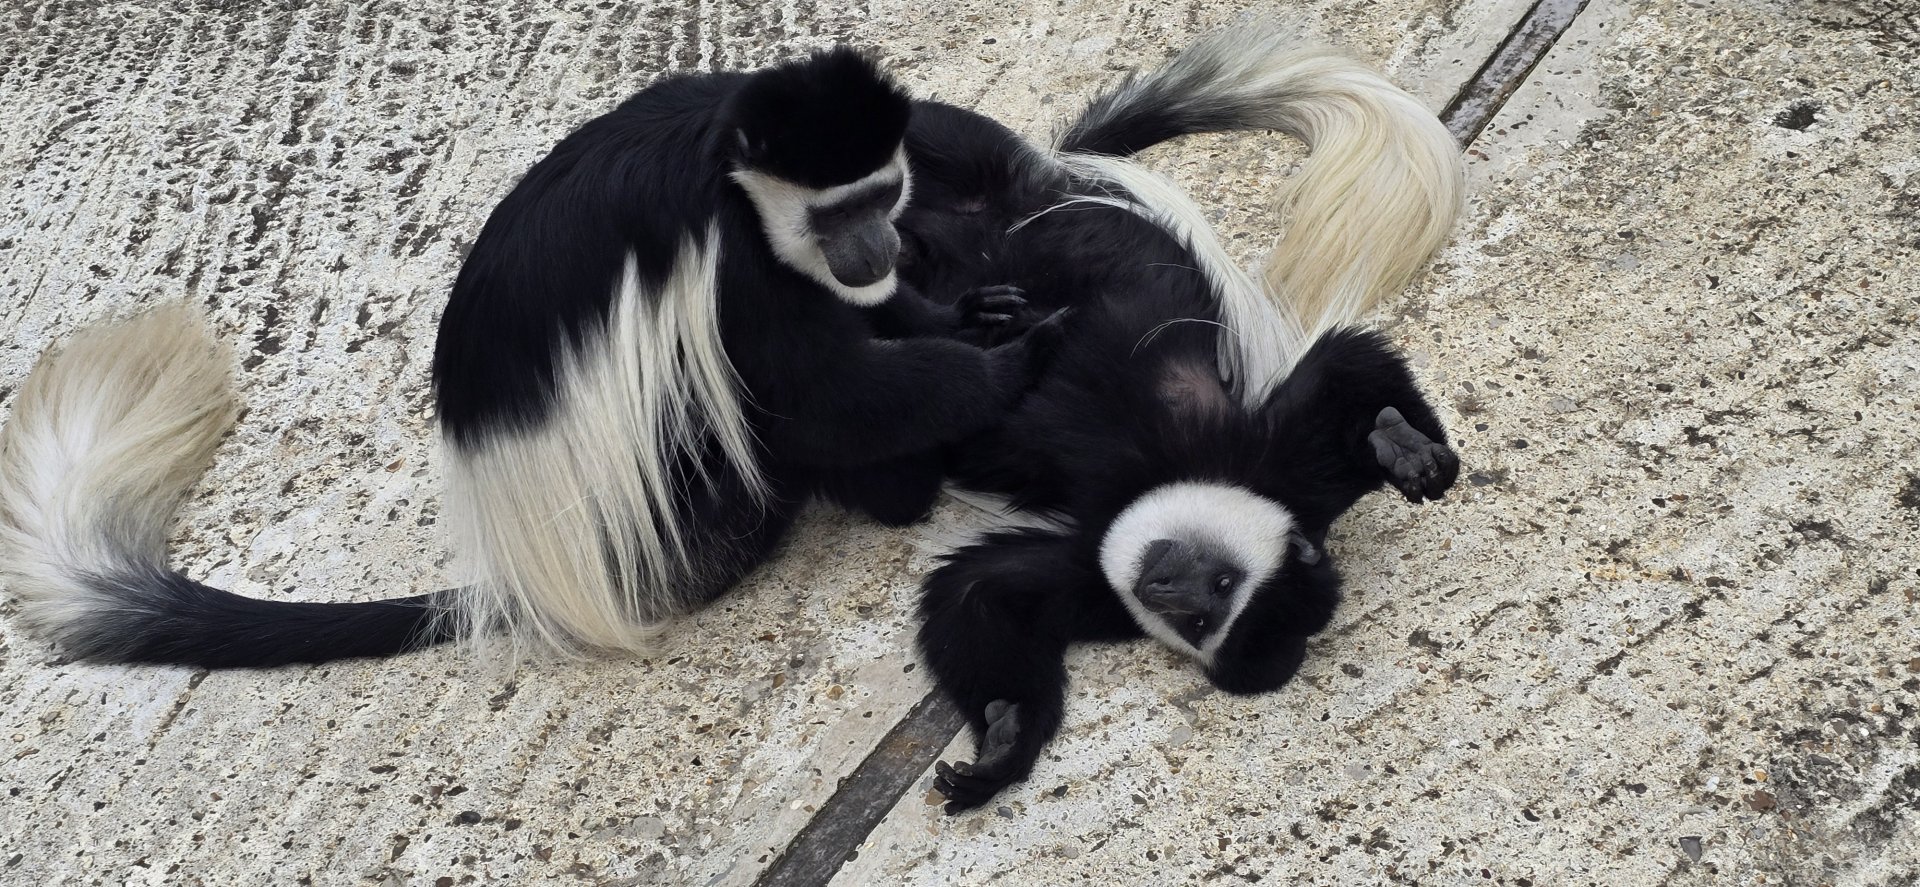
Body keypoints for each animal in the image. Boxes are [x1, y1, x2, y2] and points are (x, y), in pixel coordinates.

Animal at [0, 47, 1064, 669]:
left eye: (883, 193)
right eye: (839, 212)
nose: (877, 247)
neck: (730, 166)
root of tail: (531, 573)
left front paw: (972, 312)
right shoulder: (732, 259)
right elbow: (819, 392)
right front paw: (1003, 368)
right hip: (683, 513)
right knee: (758, 424)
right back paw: (894, 487)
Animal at [884, 23, 1467, 813]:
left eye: (1200, 617)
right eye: (1218, 587)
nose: (1162, 585)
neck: (1156, 482)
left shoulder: (1091, 574)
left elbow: (976, 595)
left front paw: (1004, 745)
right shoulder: (1268, 458)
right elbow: (1347, 366)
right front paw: (1410, 452)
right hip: (991, 177)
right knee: (931, 138)